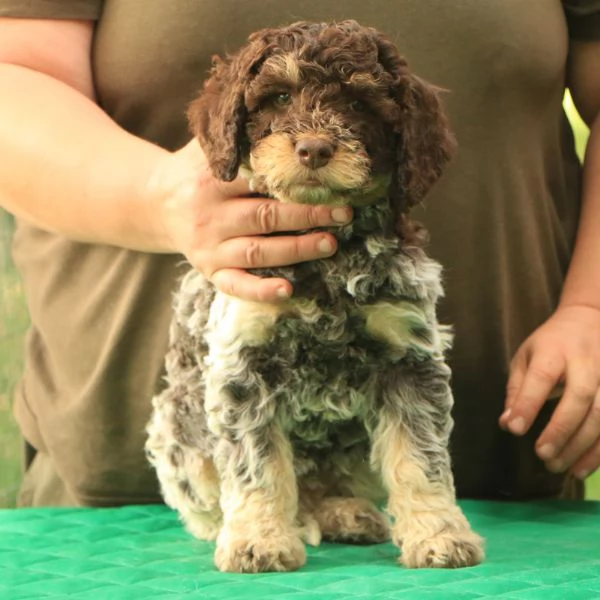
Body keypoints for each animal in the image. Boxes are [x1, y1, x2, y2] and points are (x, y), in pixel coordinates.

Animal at [145, 19, 482, 572]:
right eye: (280, 96)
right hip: (178, 424)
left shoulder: (408, 358)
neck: (329, 260)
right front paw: (258, 541)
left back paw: (345, 512)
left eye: (361, 104)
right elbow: (257, 466)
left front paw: (439, 534)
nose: (314, 150)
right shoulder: (245, 364)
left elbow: (420, 457)